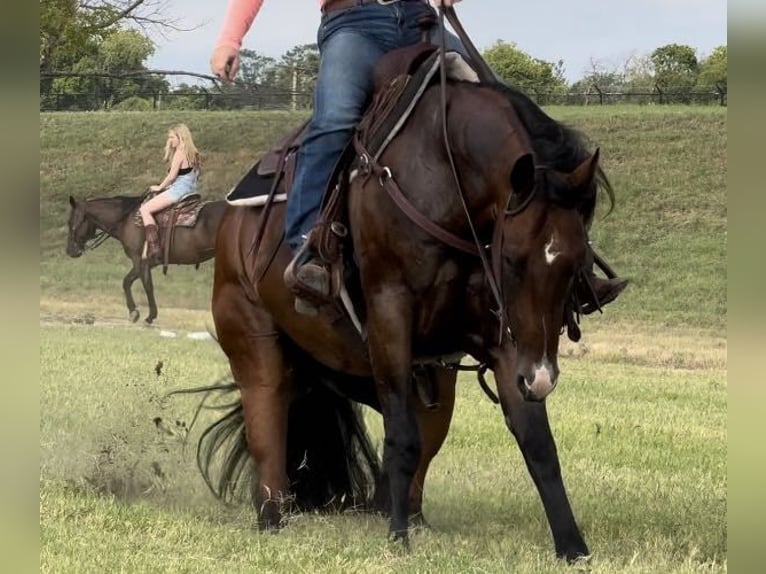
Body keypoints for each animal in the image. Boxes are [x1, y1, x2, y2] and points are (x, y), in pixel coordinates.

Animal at [66, 196, 226, 324]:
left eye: (71, 222)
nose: (70, 251)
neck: (126, 220)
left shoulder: (139, 260)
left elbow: (147, 286)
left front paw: (150, 316)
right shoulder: (148, 262)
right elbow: (127, 281)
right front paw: (134, 312)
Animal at [194, 57, 616, 564]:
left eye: (575, 264)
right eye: (512, 259)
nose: (541, 380)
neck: (447, 182)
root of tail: (231, 220)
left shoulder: (510, 340)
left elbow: (538, 445)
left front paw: (573, 547)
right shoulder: (390, 319)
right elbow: (401, 438)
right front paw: (396, 537)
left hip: (431, 375)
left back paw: (410, 515)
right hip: (254, 337)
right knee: (268, 416)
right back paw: (275, 515)